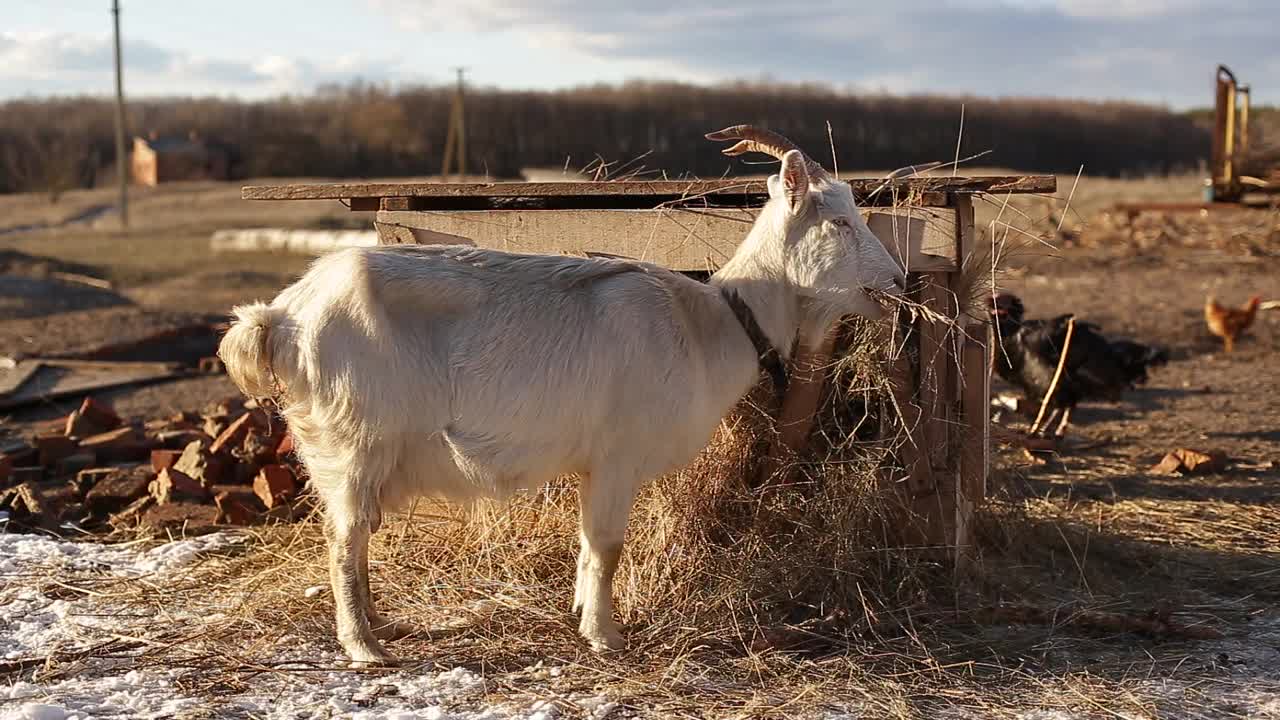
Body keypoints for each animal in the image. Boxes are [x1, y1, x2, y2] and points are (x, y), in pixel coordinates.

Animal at [217, 126, 901, 666]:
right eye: (839, 220)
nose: (896, 281)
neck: (715, 320)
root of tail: (282, 316)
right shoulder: (617, 455)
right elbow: (608, 545)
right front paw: (606, 637)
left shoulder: (590, 465)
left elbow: (586, 543)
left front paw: (579, 613)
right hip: (353, 441)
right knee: (343, 538)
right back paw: (364, 647)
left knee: (354, 537)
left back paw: (382, 625)